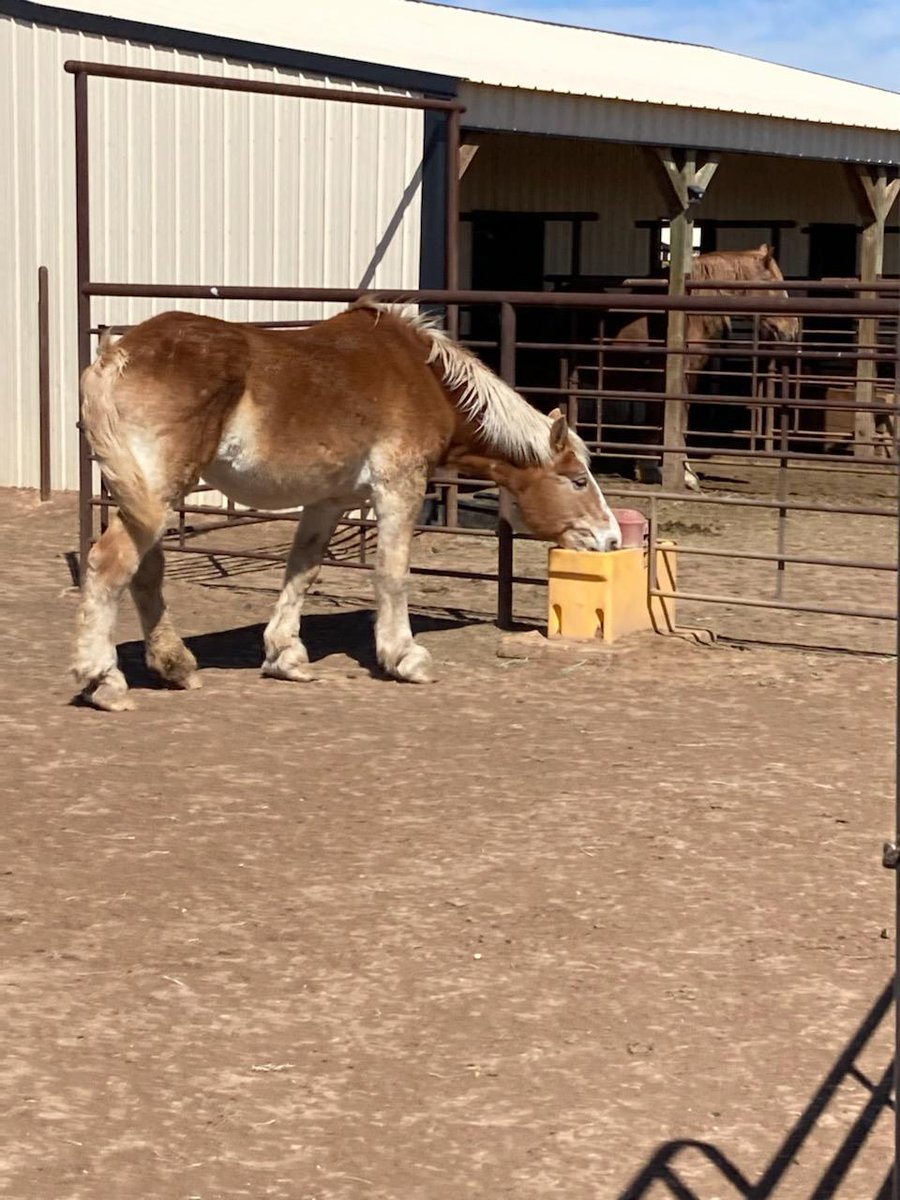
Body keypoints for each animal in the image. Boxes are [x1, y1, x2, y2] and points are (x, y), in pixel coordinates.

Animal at [74, 298, 622, 711]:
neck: (424, 376)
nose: (611, 537)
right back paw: (105, 681)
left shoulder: (328, 501)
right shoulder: (399, 484)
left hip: (146, 496)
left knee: (144, 572)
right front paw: (404, 657)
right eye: (578, 480)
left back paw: (174, 666)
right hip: (159, 490)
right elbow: (392, 573)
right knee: (111, 564)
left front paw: (286, 656)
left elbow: (303, 570)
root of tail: (115, 356)